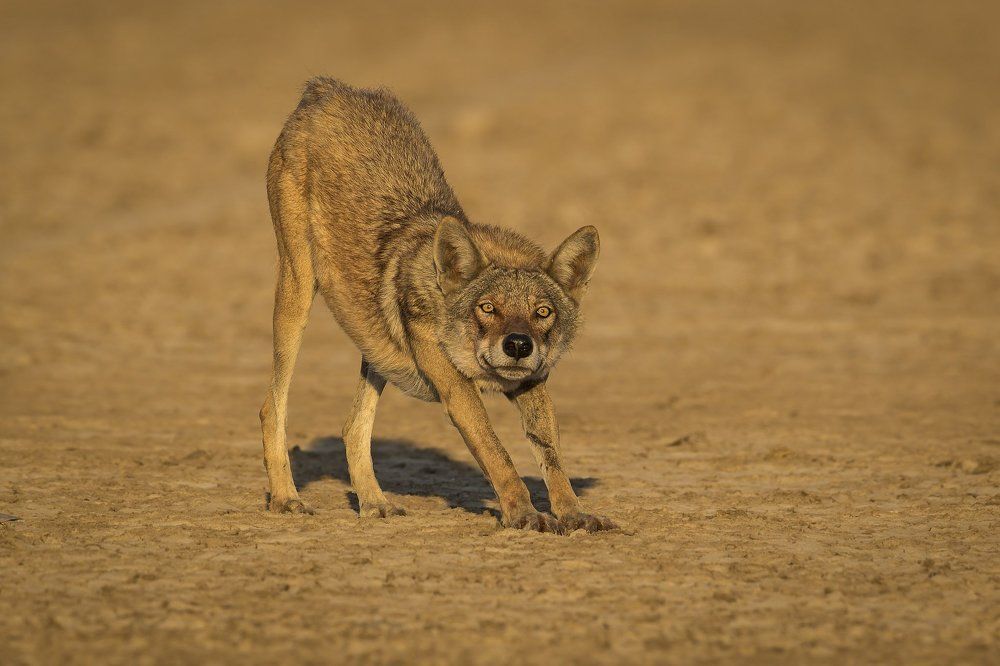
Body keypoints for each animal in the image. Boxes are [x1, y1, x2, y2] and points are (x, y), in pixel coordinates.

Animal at [260, 78, 615, 533]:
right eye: (487, 308)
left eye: (543, 312)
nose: (519, 346)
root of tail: (329, 88)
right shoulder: (457, 388)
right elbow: (498, 455)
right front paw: (523, 515)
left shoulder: (532, 383)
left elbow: (551, 456)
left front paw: (573, 515)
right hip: (298, 293)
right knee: (272, 408)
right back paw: (286, 498)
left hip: (374, 350)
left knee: (352, 427)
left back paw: (375, 503)